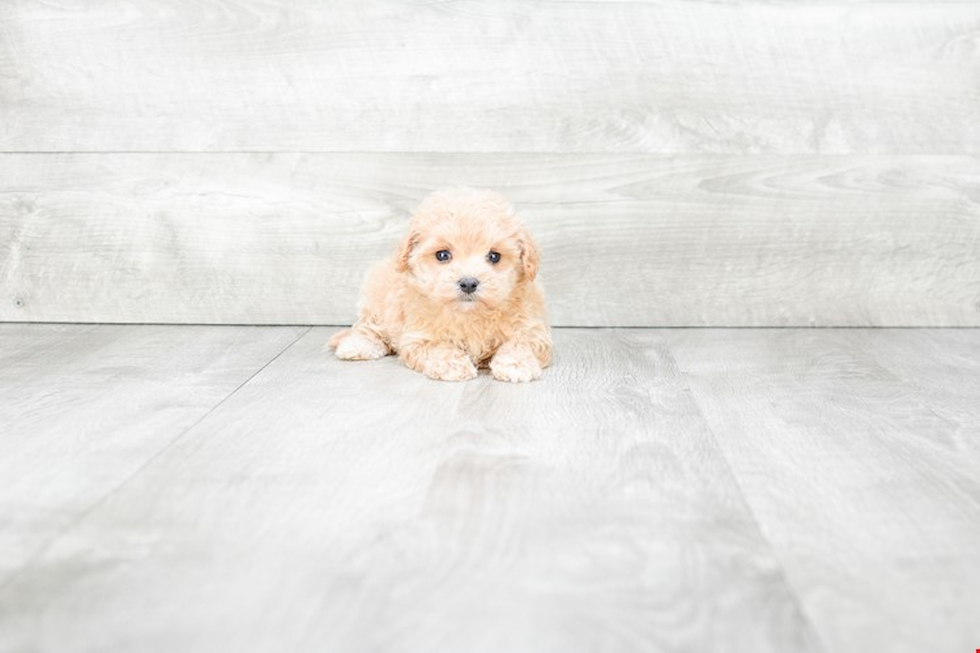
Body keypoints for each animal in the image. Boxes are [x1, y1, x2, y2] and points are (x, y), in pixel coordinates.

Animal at [330, 187, 552, 382]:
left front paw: (516, 365)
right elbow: (438, 347)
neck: (470, 315)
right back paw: (357, 346)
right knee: (368, 328)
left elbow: (521, 343)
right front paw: (454, 365)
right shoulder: (418, 337)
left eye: (494, 256)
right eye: (443, 255)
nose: (468, 283)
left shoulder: (533, 330)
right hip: (374, 302)